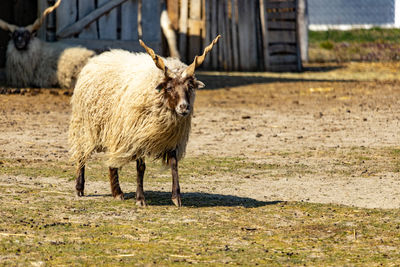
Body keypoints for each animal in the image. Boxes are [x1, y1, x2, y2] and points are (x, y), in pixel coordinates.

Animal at [67, 35, 220, 207]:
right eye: (169, 88)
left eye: (190, 87)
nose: (184, 107)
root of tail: (97, 59)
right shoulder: (138, 136)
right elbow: (141, 167)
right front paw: (140, 199)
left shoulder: (172, 139)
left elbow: (174, 165)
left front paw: (176, 197)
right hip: (85, 125)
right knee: (81, 155)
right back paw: (80, 188)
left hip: (113, 130)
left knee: (111, 160)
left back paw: (116, 193)